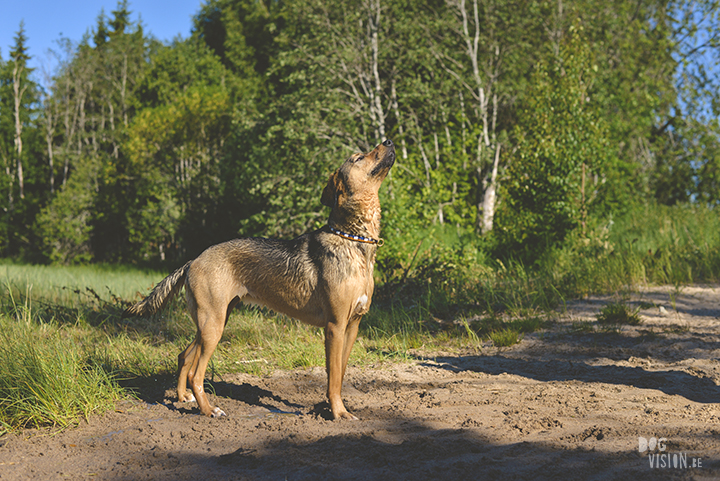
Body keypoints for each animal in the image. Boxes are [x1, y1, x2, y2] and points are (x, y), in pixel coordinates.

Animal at [124, 137, 394, 418]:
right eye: (358, 158)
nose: (388, 140)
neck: (355, 242)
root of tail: (193, 261)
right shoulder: (335, 327)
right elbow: (332, 377)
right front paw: (338, 413)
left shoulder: (352, 326)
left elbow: (339, 374)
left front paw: (328, 408)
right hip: (212, 327)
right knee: (196, 374)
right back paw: (209, 410)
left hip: (212, 321)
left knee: (184, 357)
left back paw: (182, 397)